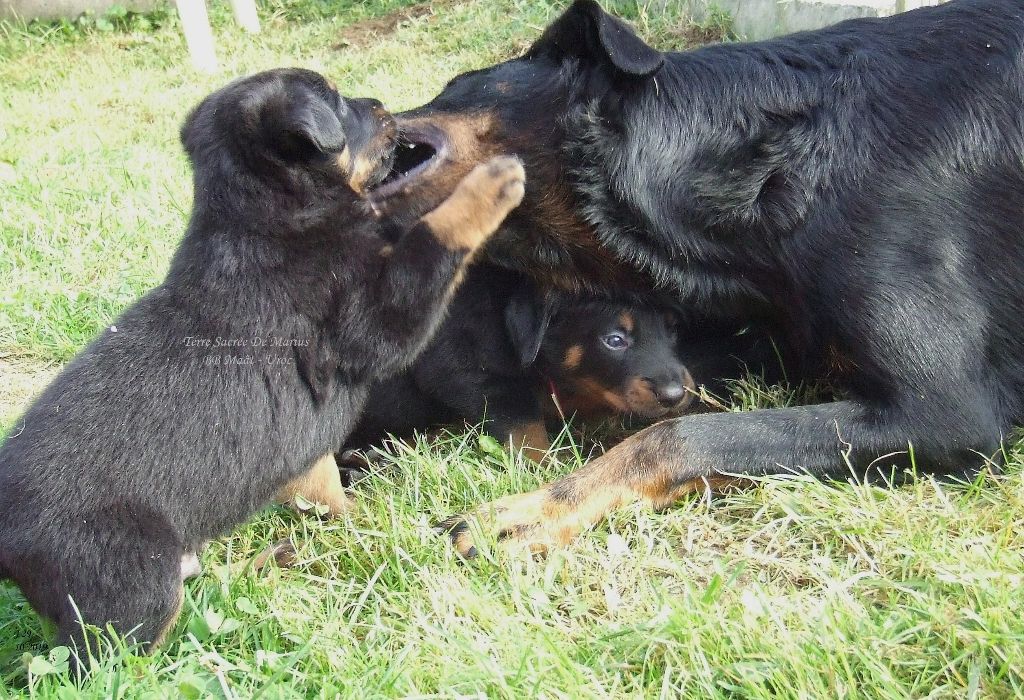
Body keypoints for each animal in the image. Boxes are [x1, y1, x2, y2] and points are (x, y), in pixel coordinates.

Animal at [0, 68, 528, 663]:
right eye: (340, 103)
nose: (381, 105)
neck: (268, 215)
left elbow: (325, 490)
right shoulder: (369, 327)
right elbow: (427, 240)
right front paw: (490, 181)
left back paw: (268, 562)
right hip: (130, 587)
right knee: (121, 656)